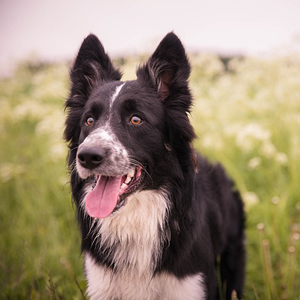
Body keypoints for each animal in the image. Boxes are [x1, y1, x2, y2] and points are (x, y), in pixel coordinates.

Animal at [64, 33, 245, 300]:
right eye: (89, 120)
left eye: (136, 119)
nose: (87, 156)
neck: (136, 219)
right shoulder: (102, 284)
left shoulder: (190, 285)